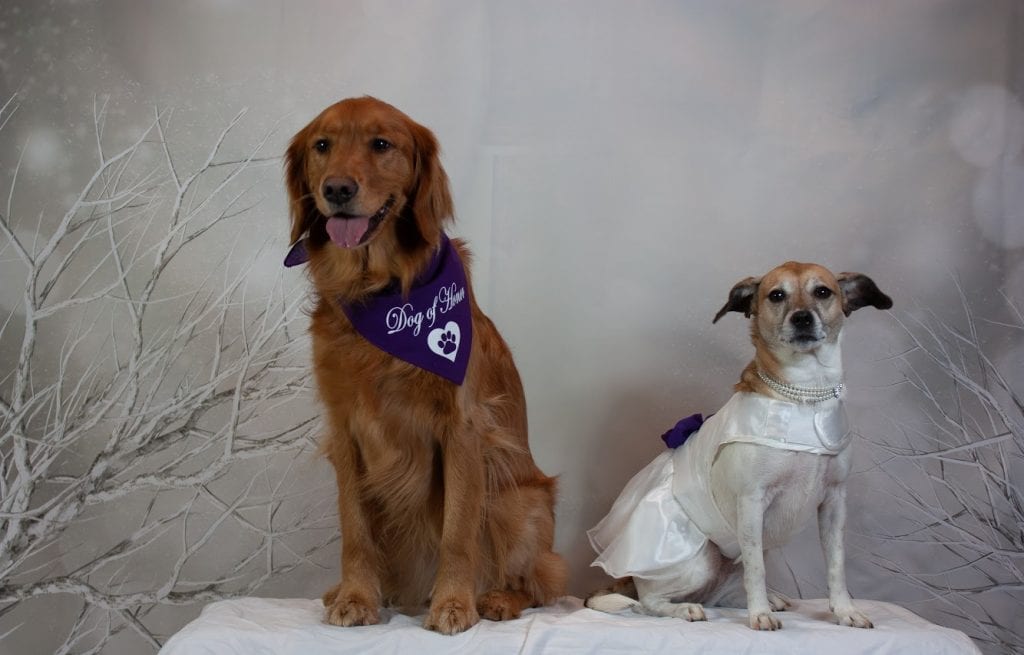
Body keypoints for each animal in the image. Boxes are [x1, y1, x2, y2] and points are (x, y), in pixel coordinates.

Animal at [589, 259, 892, 630]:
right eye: (776, 295)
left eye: (823, 292)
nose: (802, 318)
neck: (805, 396)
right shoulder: (751, 502)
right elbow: (756, 569)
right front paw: (759, 614)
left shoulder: (834, 503)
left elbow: (836, 564)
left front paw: (845, 610)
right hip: (699, 561)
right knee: (649, 602)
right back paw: (685, 609)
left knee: (724, 590)